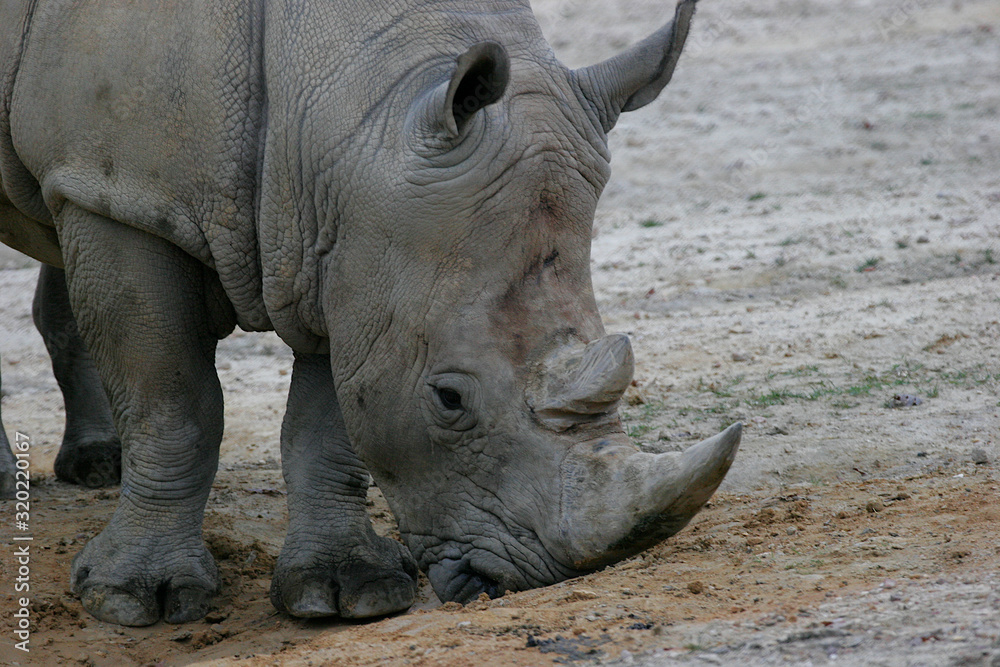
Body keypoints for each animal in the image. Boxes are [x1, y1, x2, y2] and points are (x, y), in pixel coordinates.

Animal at [0, 0, 740, 626]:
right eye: (449, 399)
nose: (536, 578)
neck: (356, 105)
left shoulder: (350, 242)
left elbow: (328, 421)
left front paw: (349, 593)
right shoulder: (119, 194)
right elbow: (172, 404)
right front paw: (134, 599)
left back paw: (97, 468)